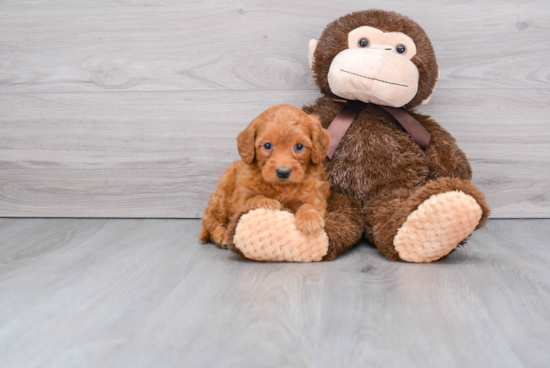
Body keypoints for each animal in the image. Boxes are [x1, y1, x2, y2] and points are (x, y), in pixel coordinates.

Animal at [202, 103, 334, 247]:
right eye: (267, 145)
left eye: (299, 146)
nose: (283, 172)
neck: (281, 187)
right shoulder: (241, 199)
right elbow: (254, 198)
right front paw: (268, 203)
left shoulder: (315, 195)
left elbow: (308, 205)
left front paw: (310, 219)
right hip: (221, 194)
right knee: (211, 219)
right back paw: (221, 234)